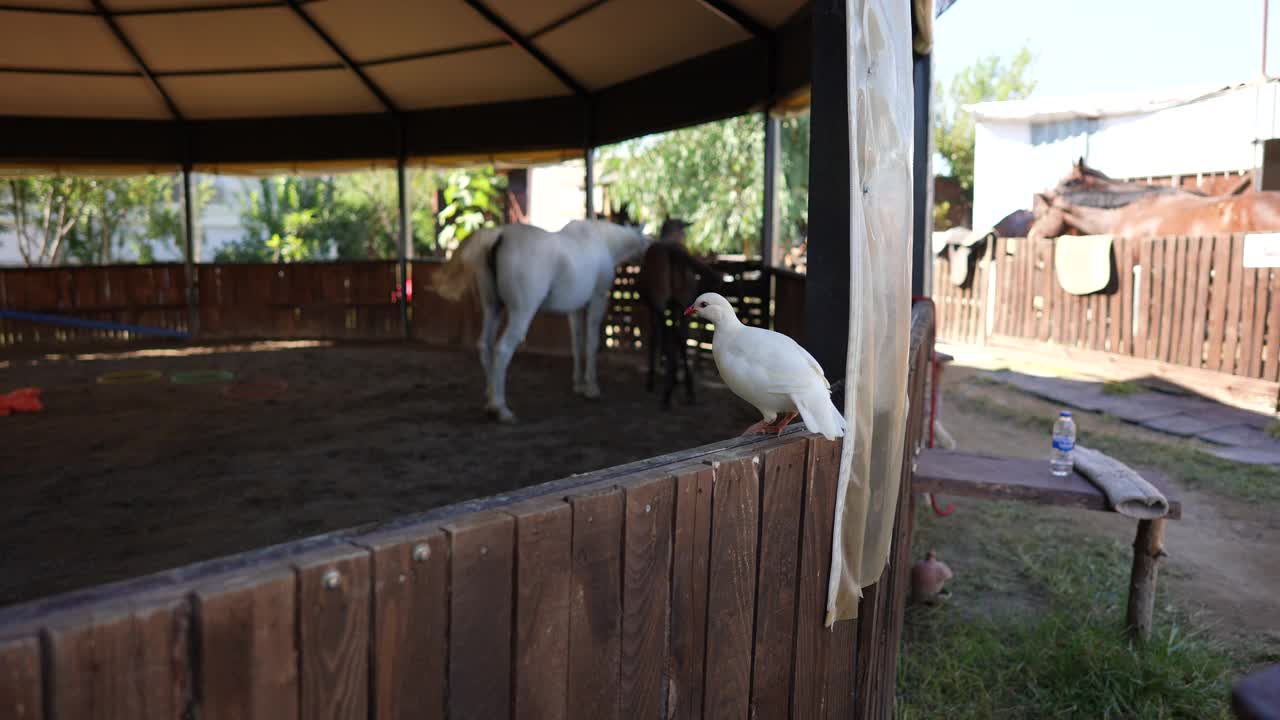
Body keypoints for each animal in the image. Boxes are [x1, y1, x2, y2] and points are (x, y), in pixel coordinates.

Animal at [432, 217, 650, 420]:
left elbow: (577, 344)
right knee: (502, 349)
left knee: (485, 345)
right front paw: (591, 388)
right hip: (522, 312)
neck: (603, 241)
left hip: (493, 308)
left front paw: (579, 384)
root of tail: (499, 236)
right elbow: (591, 344)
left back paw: (490, 397)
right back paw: (500, 408)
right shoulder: (597, 300)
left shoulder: (576, 309)